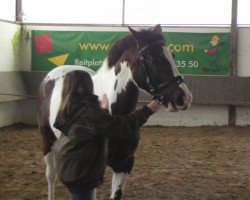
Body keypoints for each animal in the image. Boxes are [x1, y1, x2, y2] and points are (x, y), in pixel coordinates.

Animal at [38, 24, 192, 199]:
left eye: (172, 55)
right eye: (154, 59)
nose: (184, 97)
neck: (117, 116)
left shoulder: (124, 164)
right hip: (47, 141)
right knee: (51, 175)